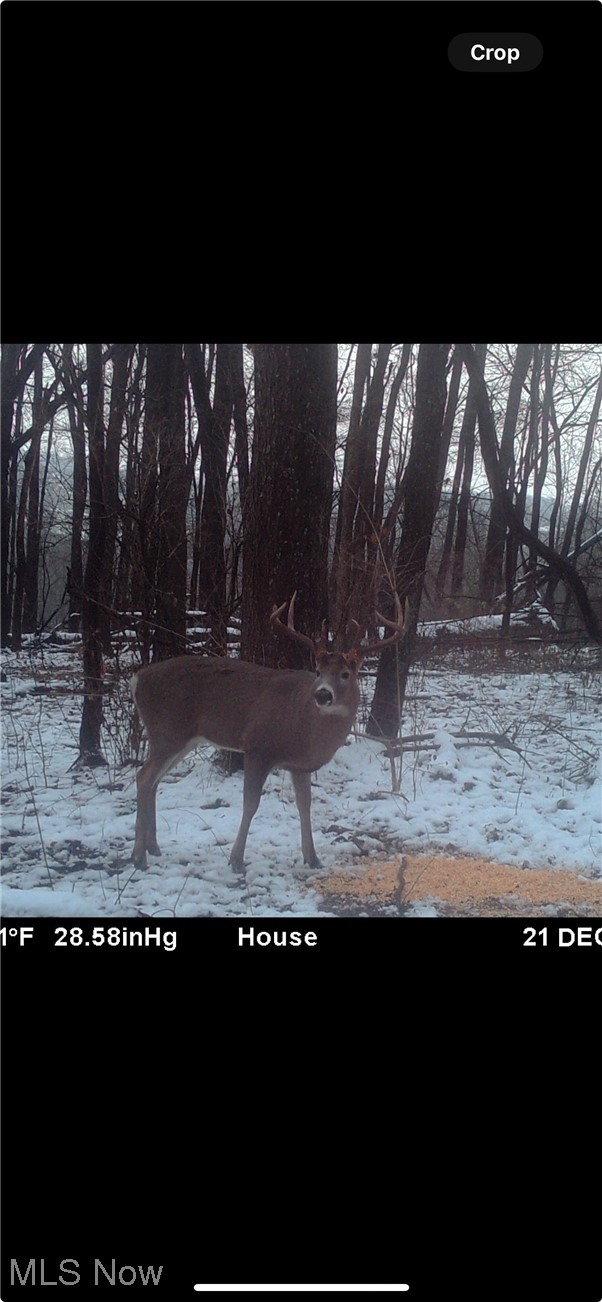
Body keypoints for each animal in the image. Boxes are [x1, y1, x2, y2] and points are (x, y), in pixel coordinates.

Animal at [130, 593, 404, 872]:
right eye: (318, 671)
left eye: (346, 674)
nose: (322, 694)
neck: (303, 726)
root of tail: (137, 679)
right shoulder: (258, 748)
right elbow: (251, 803)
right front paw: (236, 860)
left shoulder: (299, 765)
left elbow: (305, 805)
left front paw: (313, 858)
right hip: (168, 731)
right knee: (143, 777)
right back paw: (139, 857)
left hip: (180, 739)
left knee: (154, 780)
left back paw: (153, 847)